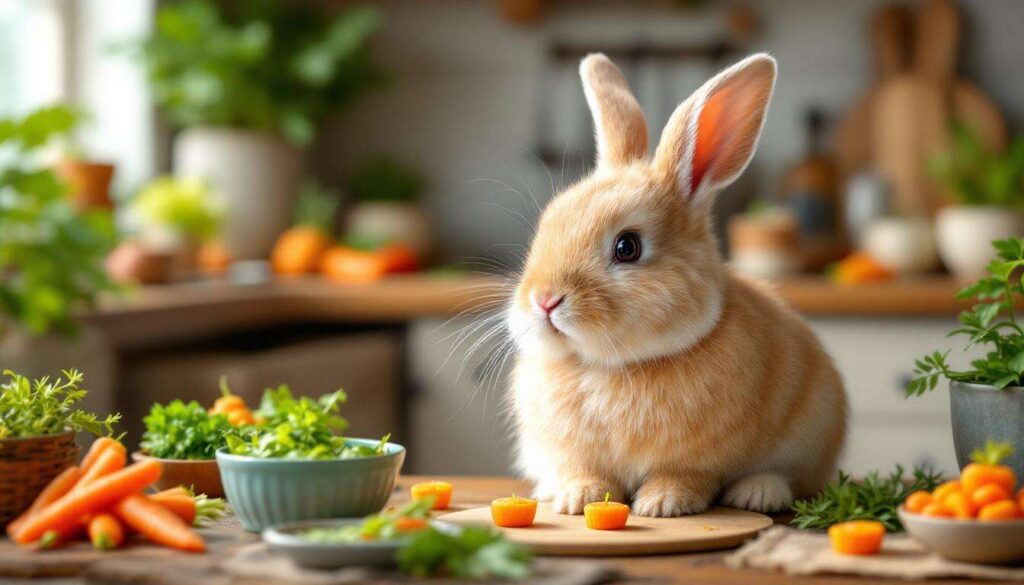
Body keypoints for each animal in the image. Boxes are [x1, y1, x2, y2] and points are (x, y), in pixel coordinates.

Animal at [506, 53, 848, 517]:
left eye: (627, 247)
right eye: (547, 224)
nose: (543, 301)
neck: (610, 367)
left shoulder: (700, 460)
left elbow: (687, 475)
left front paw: (663, 503)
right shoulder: (573, 454)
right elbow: (584, 472)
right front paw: (577, 498)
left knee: (793, 478)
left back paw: (757, 493)